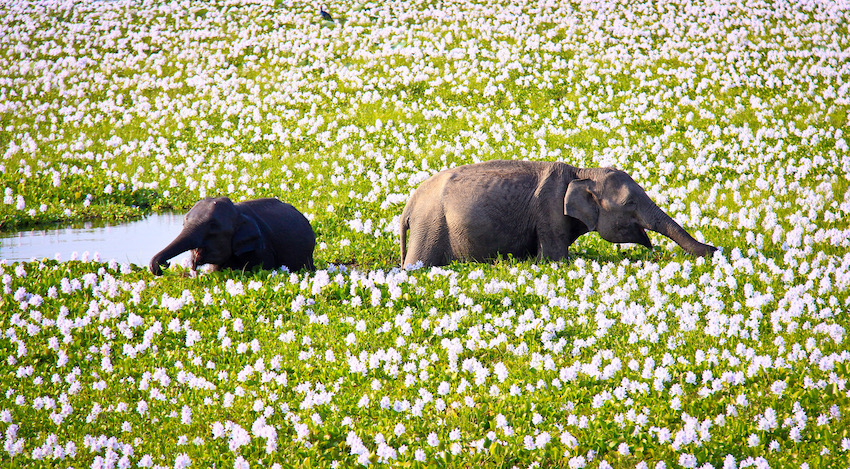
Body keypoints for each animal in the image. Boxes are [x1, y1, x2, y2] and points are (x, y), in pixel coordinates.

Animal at [400, 159, 716, 266]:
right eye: (629, 204)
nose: (716, 250)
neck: (582, 171)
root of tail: (408, 205)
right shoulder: (549, 210)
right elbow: (554, 260)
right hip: (431, 226)